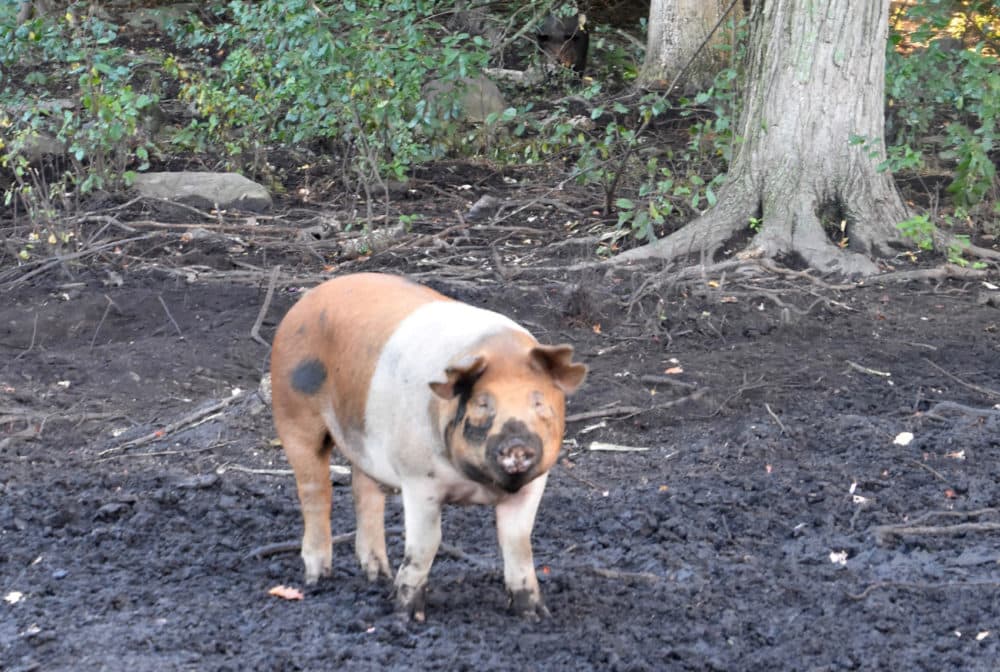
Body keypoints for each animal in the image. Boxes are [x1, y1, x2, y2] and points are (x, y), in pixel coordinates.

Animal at [270, 272, 588, 620]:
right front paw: (407, 616)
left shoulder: (533, 485)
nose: (517, 442)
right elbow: (427, 543)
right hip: (293, 412)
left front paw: (535, 615)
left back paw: (378, 576)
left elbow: (518, 542)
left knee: (365, 492)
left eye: (539, 402)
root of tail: (306, 301)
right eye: (482, 404)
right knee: (316, 492)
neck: (478, 483)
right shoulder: (417, 478)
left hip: (364, 441)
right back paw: (317, 579)